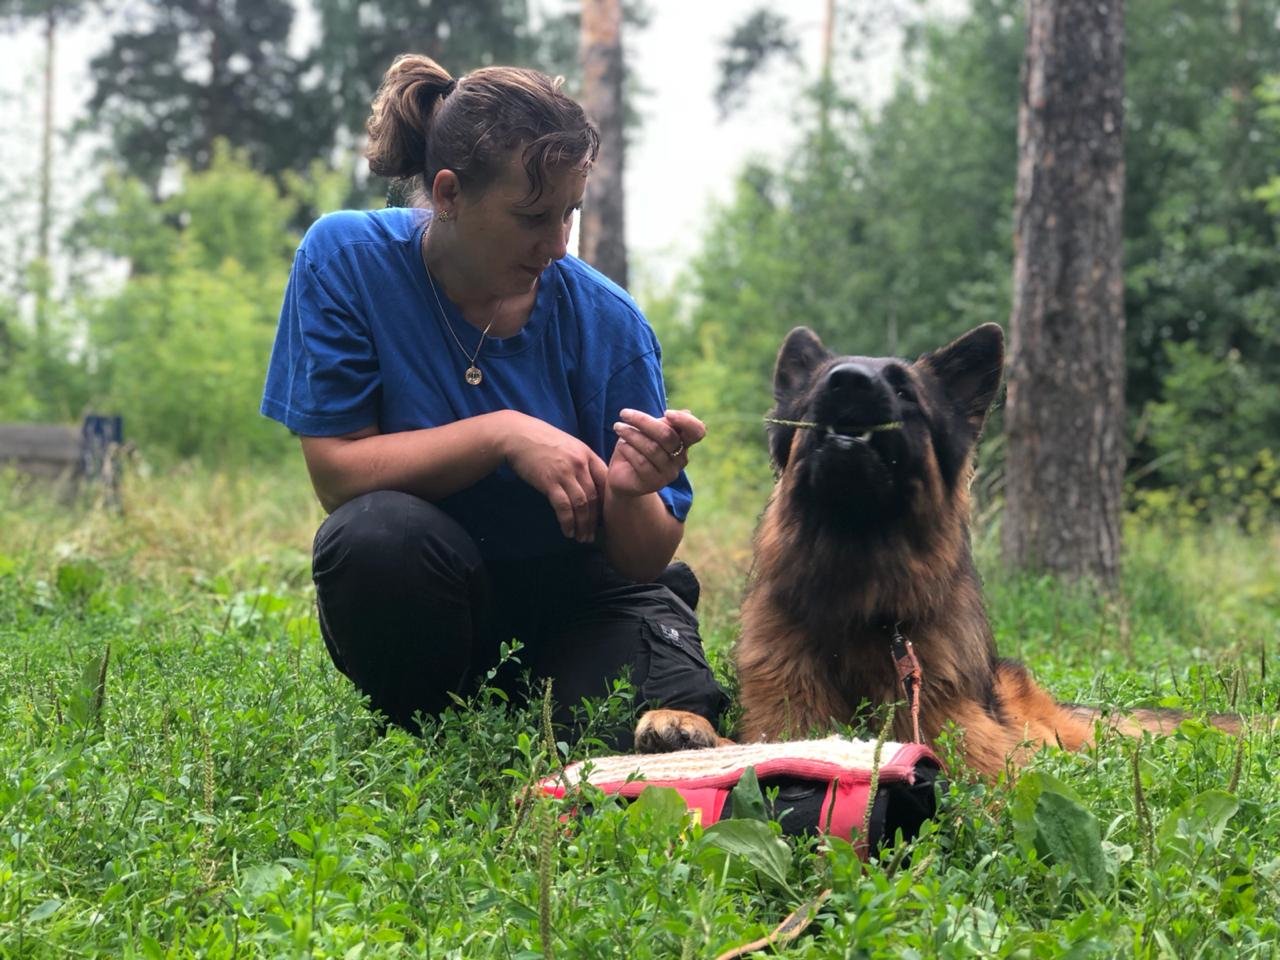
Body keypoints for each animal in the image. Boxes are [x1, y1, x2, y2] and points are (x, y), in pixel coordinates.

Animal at [634, 327, 1233, 778]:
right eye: (826, 381)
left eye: (904, 391)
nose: (848, 382)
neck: (860, 596)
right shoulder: (785, 713)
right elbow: (758, 742)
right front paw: (684, 726)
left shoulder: (965, 736)